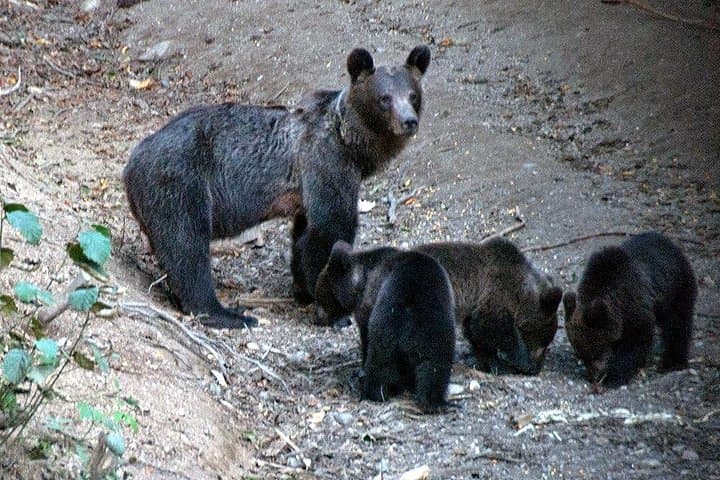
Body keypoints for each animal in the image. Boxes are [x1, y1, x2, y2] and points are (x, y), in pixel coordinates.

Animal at [123, 45, 431, 328]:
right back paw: (229, 313)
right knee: (187, 247)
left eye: (413, 95)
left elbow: (303, 235)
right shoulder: (325, 163)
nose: (409, 121)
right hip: (181, 182)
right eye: (384, 98)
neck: (352, 144)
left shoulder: (307, 191)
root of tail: (132, 163)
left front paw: (302, 289)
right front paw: (332, 309)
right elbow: (329, 230)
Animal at [314, 238, 563, 375]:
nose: (537, 367)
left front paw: (486, 360)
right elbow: (493, 330)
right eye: (546, 340)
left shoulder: (477, 304)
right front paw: (515, 360)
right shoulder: (494, 297)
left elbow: (478, 333)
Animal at [321, 241, 455, 412]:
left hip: (387, 325)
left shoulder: (366, 305)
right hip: (437, 330)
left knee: (380, 363)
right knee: (435, 367)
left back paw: (371, 392)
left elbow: (365, 336)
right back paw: (435, 401)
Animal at [563, 231, 697, 389]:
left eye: (596, 350)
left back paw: (673, 362)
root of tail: (673, 245)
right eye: (581, 355)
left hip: (676, 288)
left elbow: (636, 341)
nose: (592, 376)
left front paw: (612, 377)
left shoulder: (634, 306)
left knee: (678, 323)